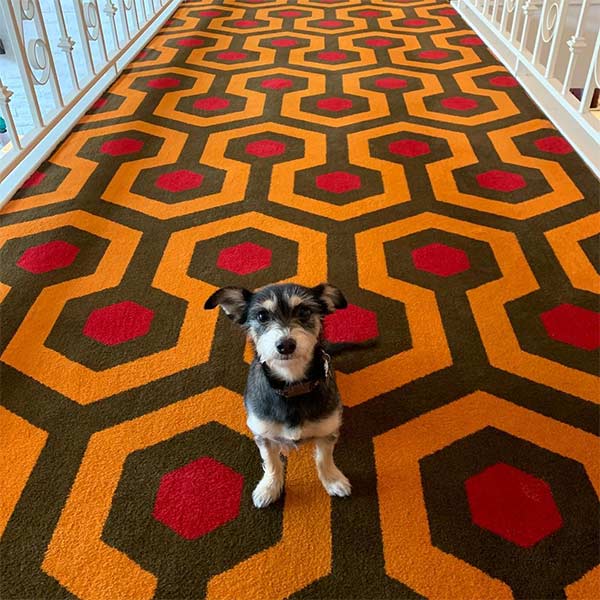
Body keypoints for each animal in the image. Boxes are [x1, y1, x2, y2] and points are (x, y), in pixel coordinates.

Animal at [205, 282, 352, 506]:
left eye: (304, 311)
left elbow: (323, 458)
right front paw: (268, 489)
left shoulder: (328, 429)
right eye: (262, 316)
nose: (286, 345)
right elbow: (272, 462)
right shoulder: (263, 434)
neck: (292, 387)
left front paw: (333, 480)